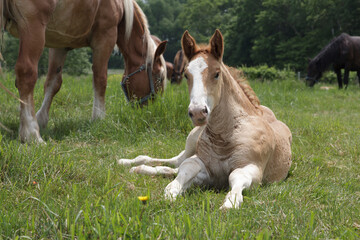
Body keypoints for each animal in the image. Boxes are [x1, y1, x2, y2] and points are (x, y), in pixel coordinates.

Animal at [0, 0, 167, 142]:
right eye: (159, 77)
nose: (151, 110)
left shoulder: (60, 44)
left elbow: (53, 83)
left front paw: (41, 119)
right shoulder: (105, 37)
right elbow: (100, 79)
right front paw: (99, 118)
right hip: (32, 26)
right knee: (26, 74)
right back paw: (31, 133)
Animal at [118, 30, 292, 209]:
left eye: (217, 74)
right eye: (187, 75)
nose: (197, 112)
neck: (225, 135)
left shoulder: (252, 167)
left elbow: (236, 177)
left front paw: (230, 204)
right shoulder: (202, 166)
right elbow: (186, 169)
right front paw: (170, 194)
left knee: (173, 167)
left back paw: (138, 168)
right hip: (191, 142)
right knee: (176, 162)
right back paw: (128, 163)